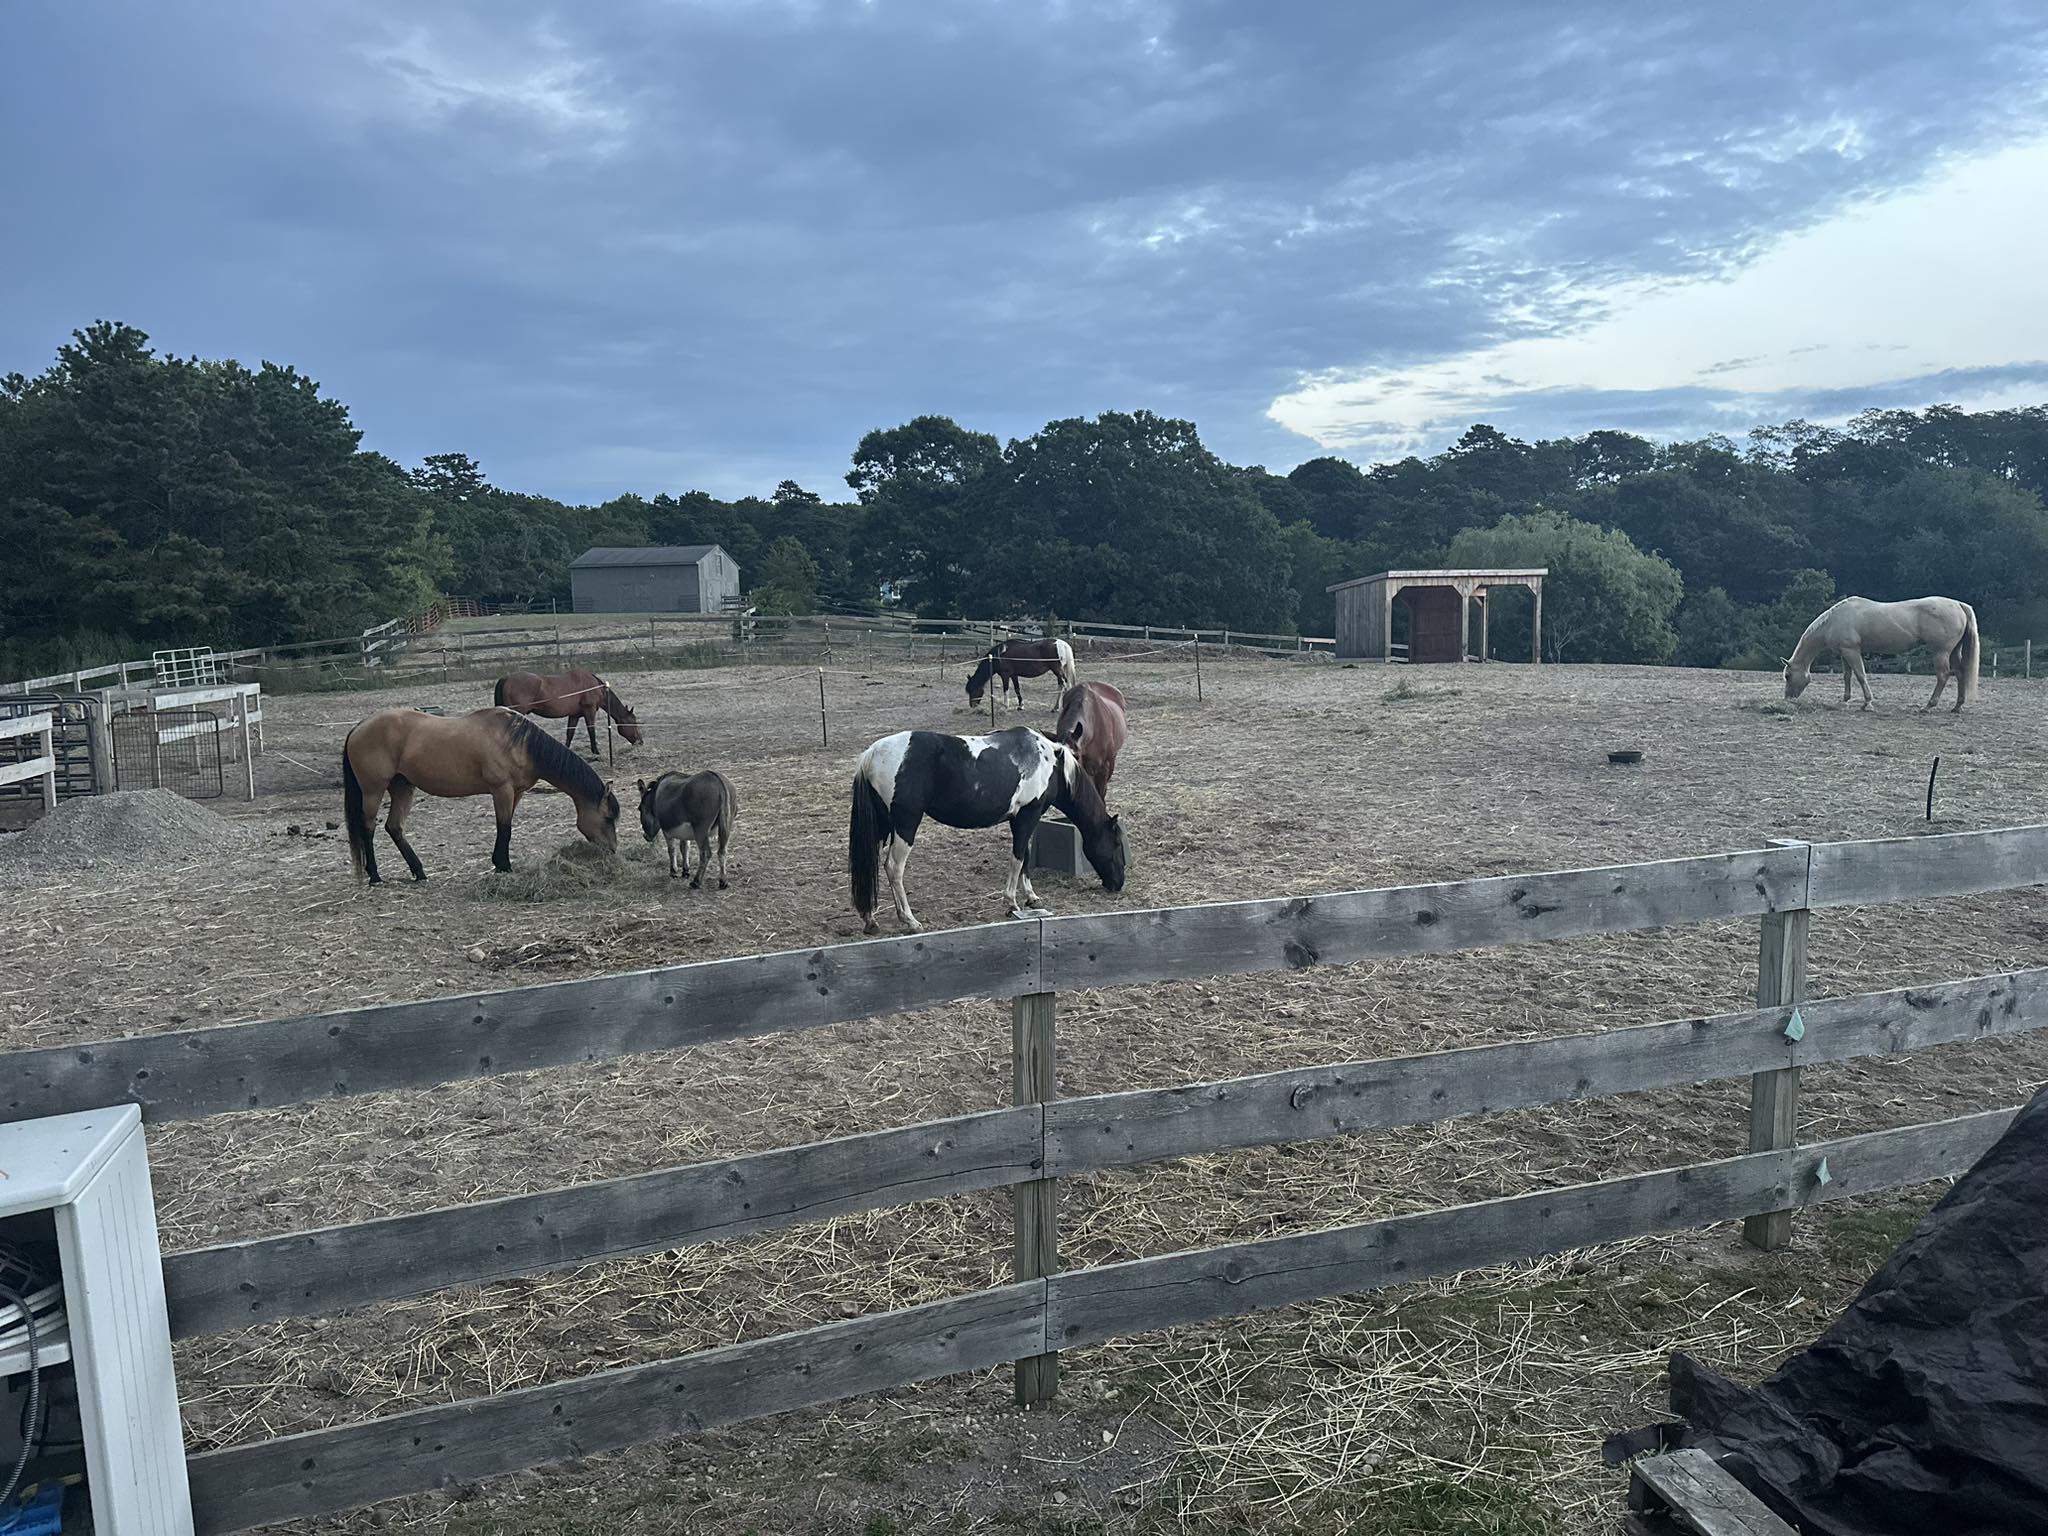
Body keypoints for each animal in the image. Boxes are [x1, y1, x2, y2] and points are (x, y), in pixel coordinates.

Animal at [342, 706, 620, 883]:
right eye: (608, 818)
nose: (613, 850)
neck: (518, 742)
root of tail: (359, 727)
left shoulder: (516, 793)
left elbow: (507, 827)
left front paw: (500, 863)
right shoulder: (501, 790)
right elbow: (504, 828)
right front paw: (504, 866)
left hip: (402, 787)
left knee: (394, 827)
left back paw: (419, 872)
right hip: (374, 790)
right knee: (368, 828)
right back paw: (375, 875)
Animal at [494, 669, 644, 754]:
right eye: (633, 723)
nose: (640, 741)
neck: (593, 686)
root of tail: (506, 679)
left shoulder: (574, 715)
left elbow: (570, 733)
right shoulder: (589, 711)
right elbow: (591, 730)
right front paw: (596, 751)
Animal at [848, 726, 1126, 934]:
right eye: (1116, 844)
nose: (1118, 883)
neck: (1051, 763)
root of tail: (871, 754)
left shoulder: (1022, 819)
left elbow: (1024, 857)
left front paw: (1031, 897)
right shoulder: (1028, 816)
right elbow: (1018, 859)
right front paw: (1011, 903)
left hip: (883, 826)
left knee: (871, 864)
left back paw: (870, 919)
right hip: (905, 825)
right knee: (893, 868)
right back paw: (910, 920)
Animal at [1783, 597, 1980, 712]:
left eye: (1787, 675)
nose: (1788, 698)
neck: (1834, 620)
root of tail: (1958, 605)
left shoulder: (1852, 651)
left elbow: (1860, 675)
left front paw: (1867, 703)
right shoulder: (1844, 652)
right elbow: (1847, 676)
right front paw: (1845, 700)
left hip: (1940, 652)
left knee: (1943, 676)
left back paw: (1928, 706)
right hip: (1953, 652)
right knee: (1960, 673)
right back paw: (1957, 706)